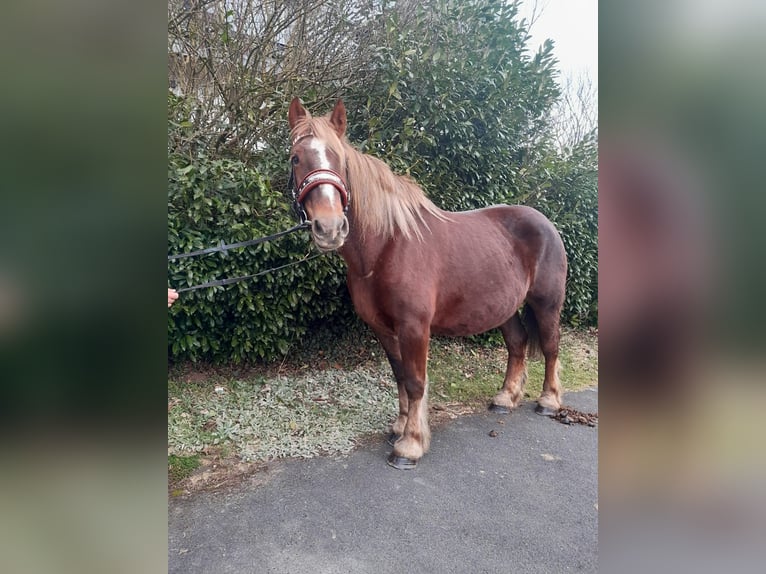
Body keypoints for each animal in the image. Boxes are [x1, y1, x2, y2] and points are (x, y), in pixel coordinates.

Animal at [288, 97, 568, 470]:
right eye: (296, 158)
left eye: (339, 159)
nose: (329, 228)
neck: (388, 246)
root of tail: (546, 222)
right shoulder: (383, 328)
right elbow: (400, 376)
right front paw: (399, 427)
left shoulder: (414, 327)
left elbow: (416, 381)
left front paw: (410, 444)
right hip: (504, 308)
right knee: (518, 343)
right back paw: (505, 398)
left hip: (547, 303)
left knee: (551, 347)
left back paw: (548, 401)